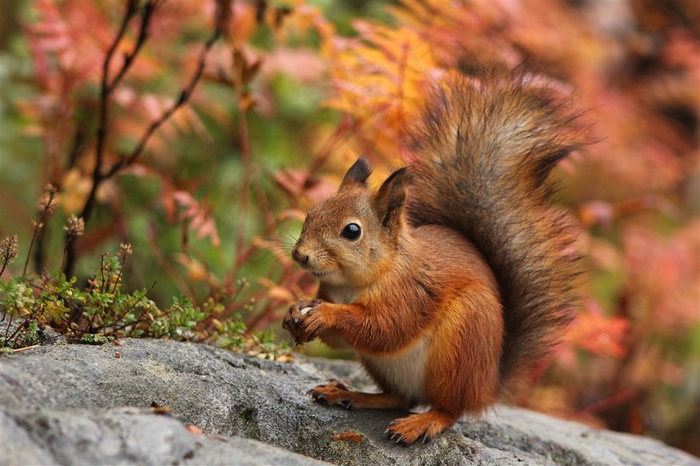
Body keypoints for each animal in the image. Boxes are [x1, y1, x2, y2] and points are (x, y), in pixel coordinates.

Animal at [282, 67, 584, 446]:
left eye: (352, 231)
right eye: (312, 213)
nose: (300, 255)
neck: (354, 284)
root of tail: (486, 387)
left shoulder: (411, 293)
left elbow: (385, 328)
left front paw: (326, 314)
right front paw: (296, 308)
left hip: (460, 346)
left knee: (449, 409)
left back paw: (421, 423)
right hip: (384, 366)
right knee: (400, 398)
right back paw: (350, 394)